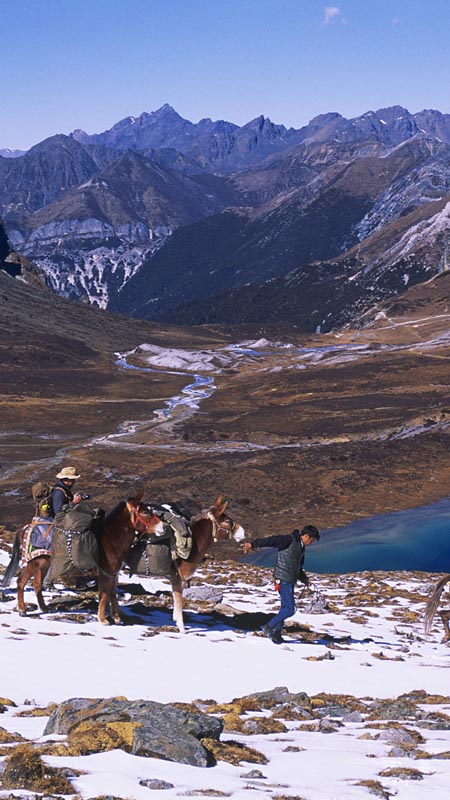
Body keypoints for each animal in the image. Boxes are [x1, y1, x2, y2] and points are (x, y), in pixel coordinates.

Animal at [97, 494, 244, 630]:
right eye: (227, 521)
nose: (242, 533)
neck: (194, 543)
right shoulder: (177, 577)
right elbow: (179, 602)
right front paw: (182, 629)